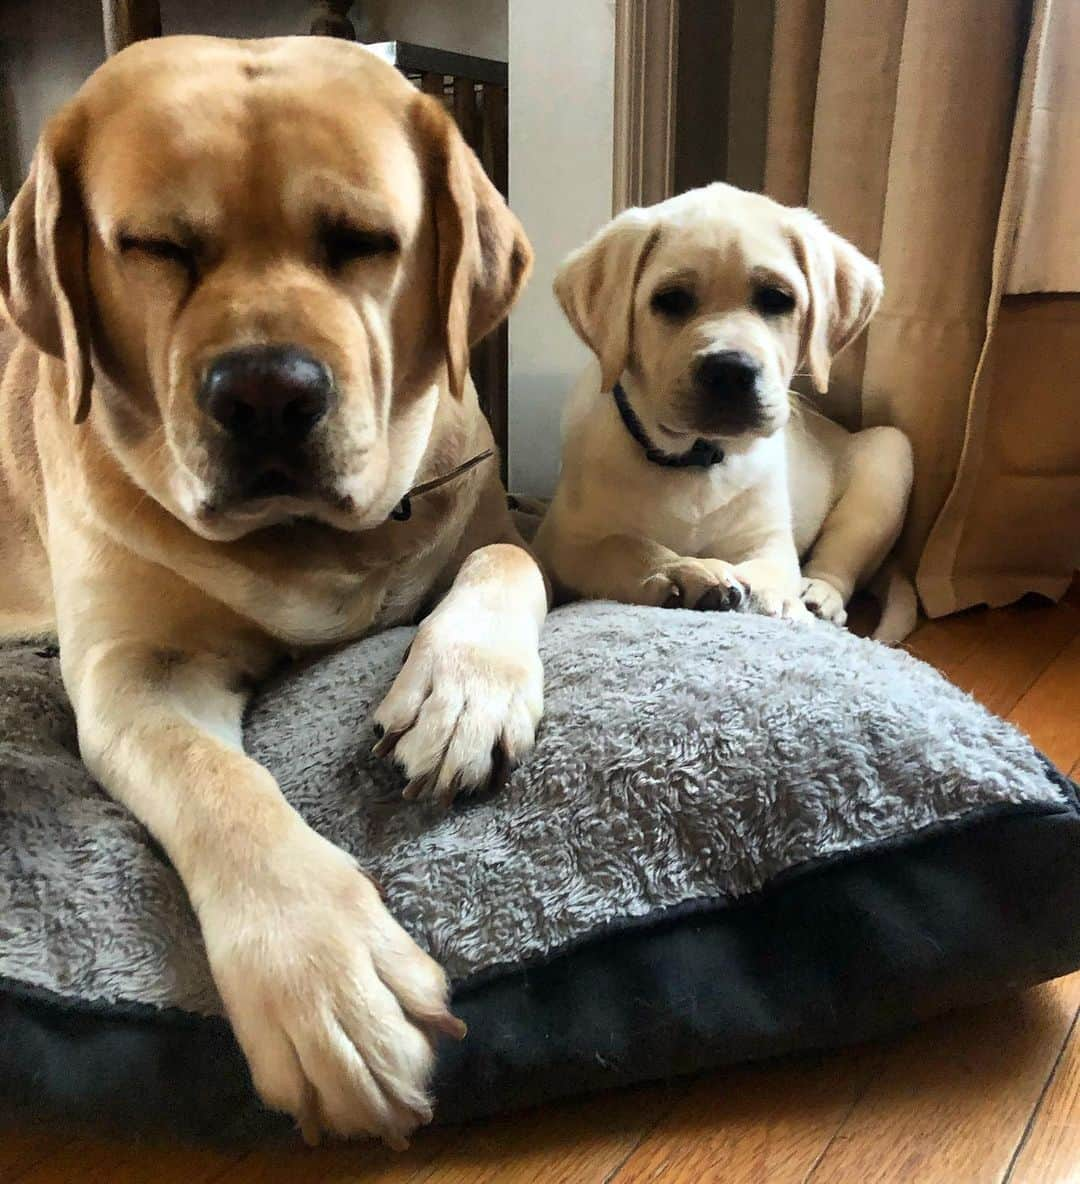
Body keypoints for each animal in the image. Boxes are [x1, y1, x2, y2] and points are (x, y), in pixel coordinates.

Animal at [2, 37, 549, 1146]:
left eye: (363, 241)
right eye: (156, 246)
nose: (267, 393)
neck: (306, 543)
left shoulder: (491, 516)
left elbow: (506, 562)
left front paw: (462, 694)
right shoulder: (137, 673)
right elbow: (221, 785)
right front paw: (325, 973)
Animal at [535, 182, 914, 639]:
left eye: (777, 299)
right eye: (671, 300)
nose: (731, 371)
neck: (696, 458)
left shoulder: (768, 537)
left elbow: (771, 570)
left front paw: (772, 597)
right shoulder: (561, 541)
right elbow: (623, 545)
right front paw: (683, 572)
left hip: (890, 454)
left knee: (839, 556)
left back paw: (818, 595)